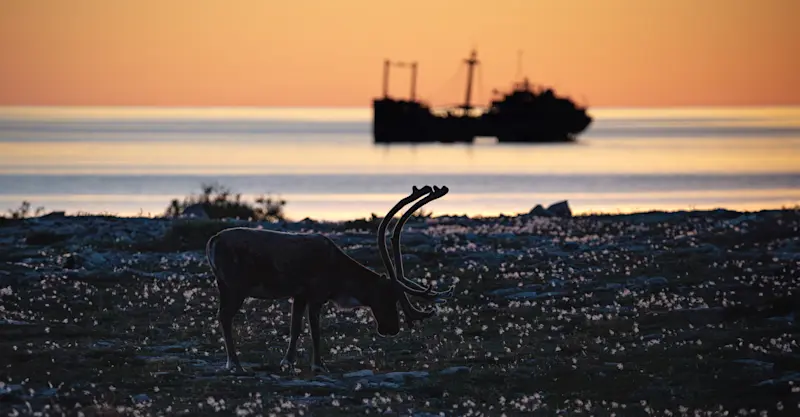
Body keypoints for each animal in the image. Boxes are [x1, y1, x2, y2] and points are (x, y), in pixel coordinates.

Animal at [205, 185, 455, 374]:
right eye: (388, 296)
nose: (391, 329)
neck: (340, 274)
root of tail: (212, 241)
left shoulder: (299, 295)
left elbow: (295, 328)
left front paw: (288, 362)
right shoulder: (316, 296)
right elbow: (315, 329)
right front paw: (319, 365)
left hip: (224, 286)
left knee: (222, 316)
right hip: (235, 287)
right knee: (225, 317)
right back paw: (235, 364)